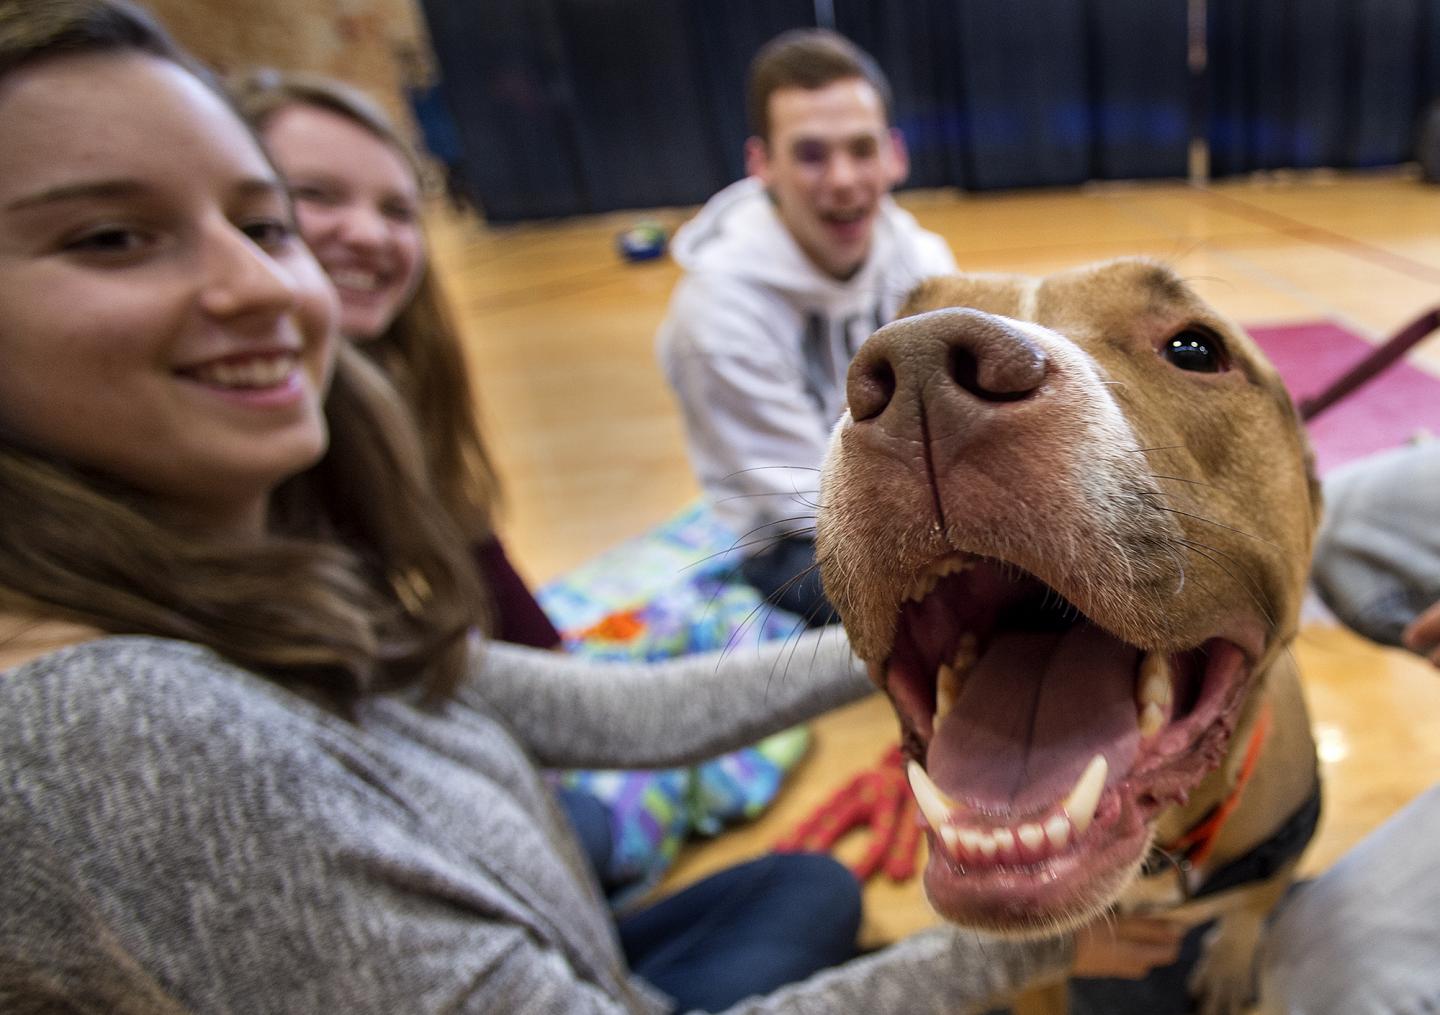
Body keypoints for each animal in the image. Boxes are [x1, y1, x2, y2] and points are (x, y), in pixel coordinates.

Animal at [817, 259, 1319, 1013]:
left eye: (1195, 349)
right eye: (886, 327)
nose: (918, 365)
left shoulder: (1275, 856)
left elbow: (1253, 908)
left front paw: (1230, 967)